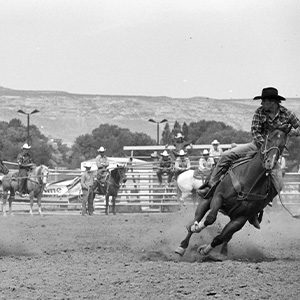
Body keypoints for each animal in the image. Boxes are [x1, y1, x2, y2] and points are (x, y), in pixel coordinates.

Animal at [176, 127, 288, 256]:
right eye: (268, 140)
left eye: (283, 145)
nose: (270, 162)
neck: (248, 181)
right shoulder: (218, 197)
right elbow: (210, 218)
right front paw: (197, 228)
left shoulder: (241, 218)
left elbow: (220, 237)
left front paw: (205, 249)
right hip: (203, 197)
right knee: (196, 217)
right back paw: (183, 245)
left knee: (226, 236)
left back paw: (223, 251)